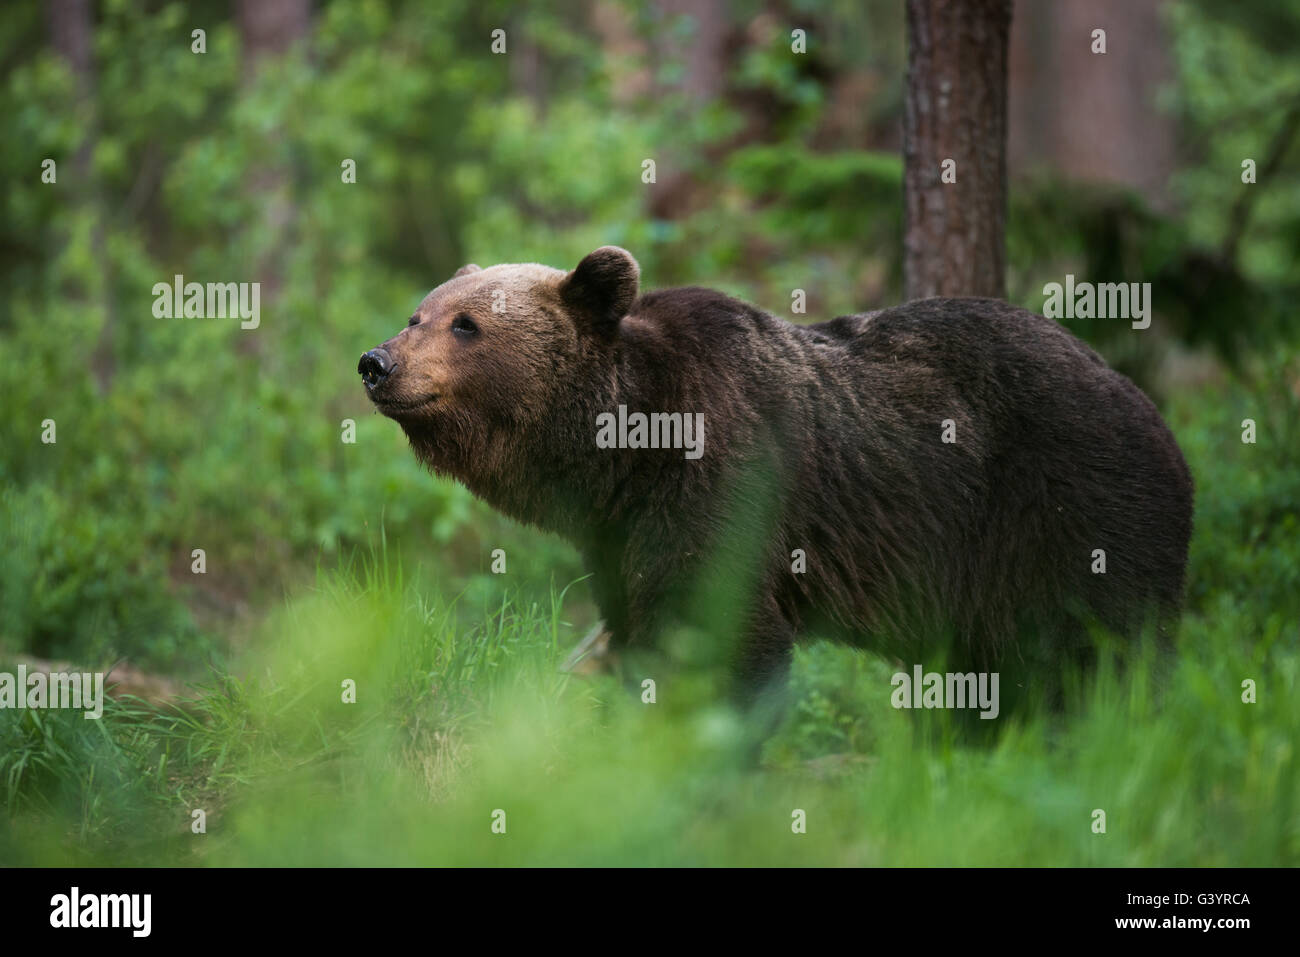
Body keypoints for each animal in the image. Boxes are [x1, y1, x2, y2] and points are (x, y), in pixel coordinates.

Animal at [359, 246, 1194, 724]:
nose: (376, 361)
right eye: (419, 312)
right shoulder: (624, 538)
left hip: (1070, 509)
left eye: (466, 324)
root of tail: (1157, 415)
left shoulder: (721, 483)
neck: (619, 453)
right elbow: (641, 632)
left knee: (1100, 653)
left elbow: (725, 639)